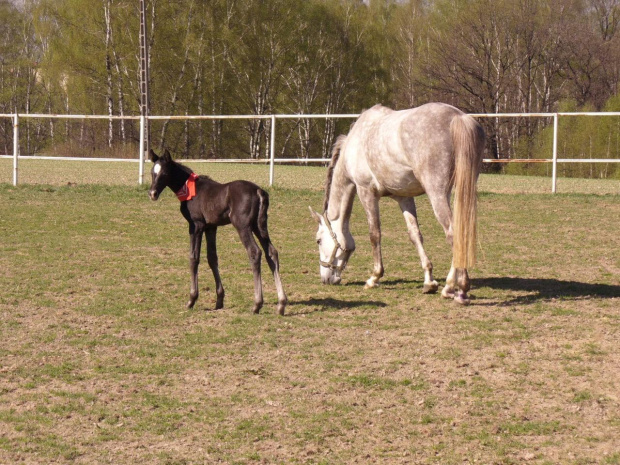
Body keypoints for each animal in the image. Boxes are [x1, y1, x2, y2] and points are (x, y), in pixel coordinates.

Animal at [149, 150, 286, 314]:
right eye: (152, 172)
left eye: (164, 173)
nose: (152, 193)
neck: (190, 190)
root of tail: (258, 191)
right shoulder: (211, 227)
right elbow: (212, 258)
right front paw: (219, 300)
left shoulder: (196, 225)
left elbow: (194, 258)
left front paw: (191, 299)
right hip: (259, 226)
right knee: (271, 252)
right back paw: (281, 303)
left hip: (243, 226)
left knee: (254, 252)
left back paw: (257, 304)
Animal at [308, 103, 484, 302]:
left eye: (318, 241)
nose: (326, 279)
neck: (355, 145)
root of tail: (457, 117)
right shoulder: (404, 198)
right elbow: (415, 235)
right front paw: (429, 281)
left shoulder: (366, 192)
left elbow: (374, 234)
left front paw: (374, 278)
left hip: (438, 194)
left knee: (453, 234)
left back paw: (453, 288)